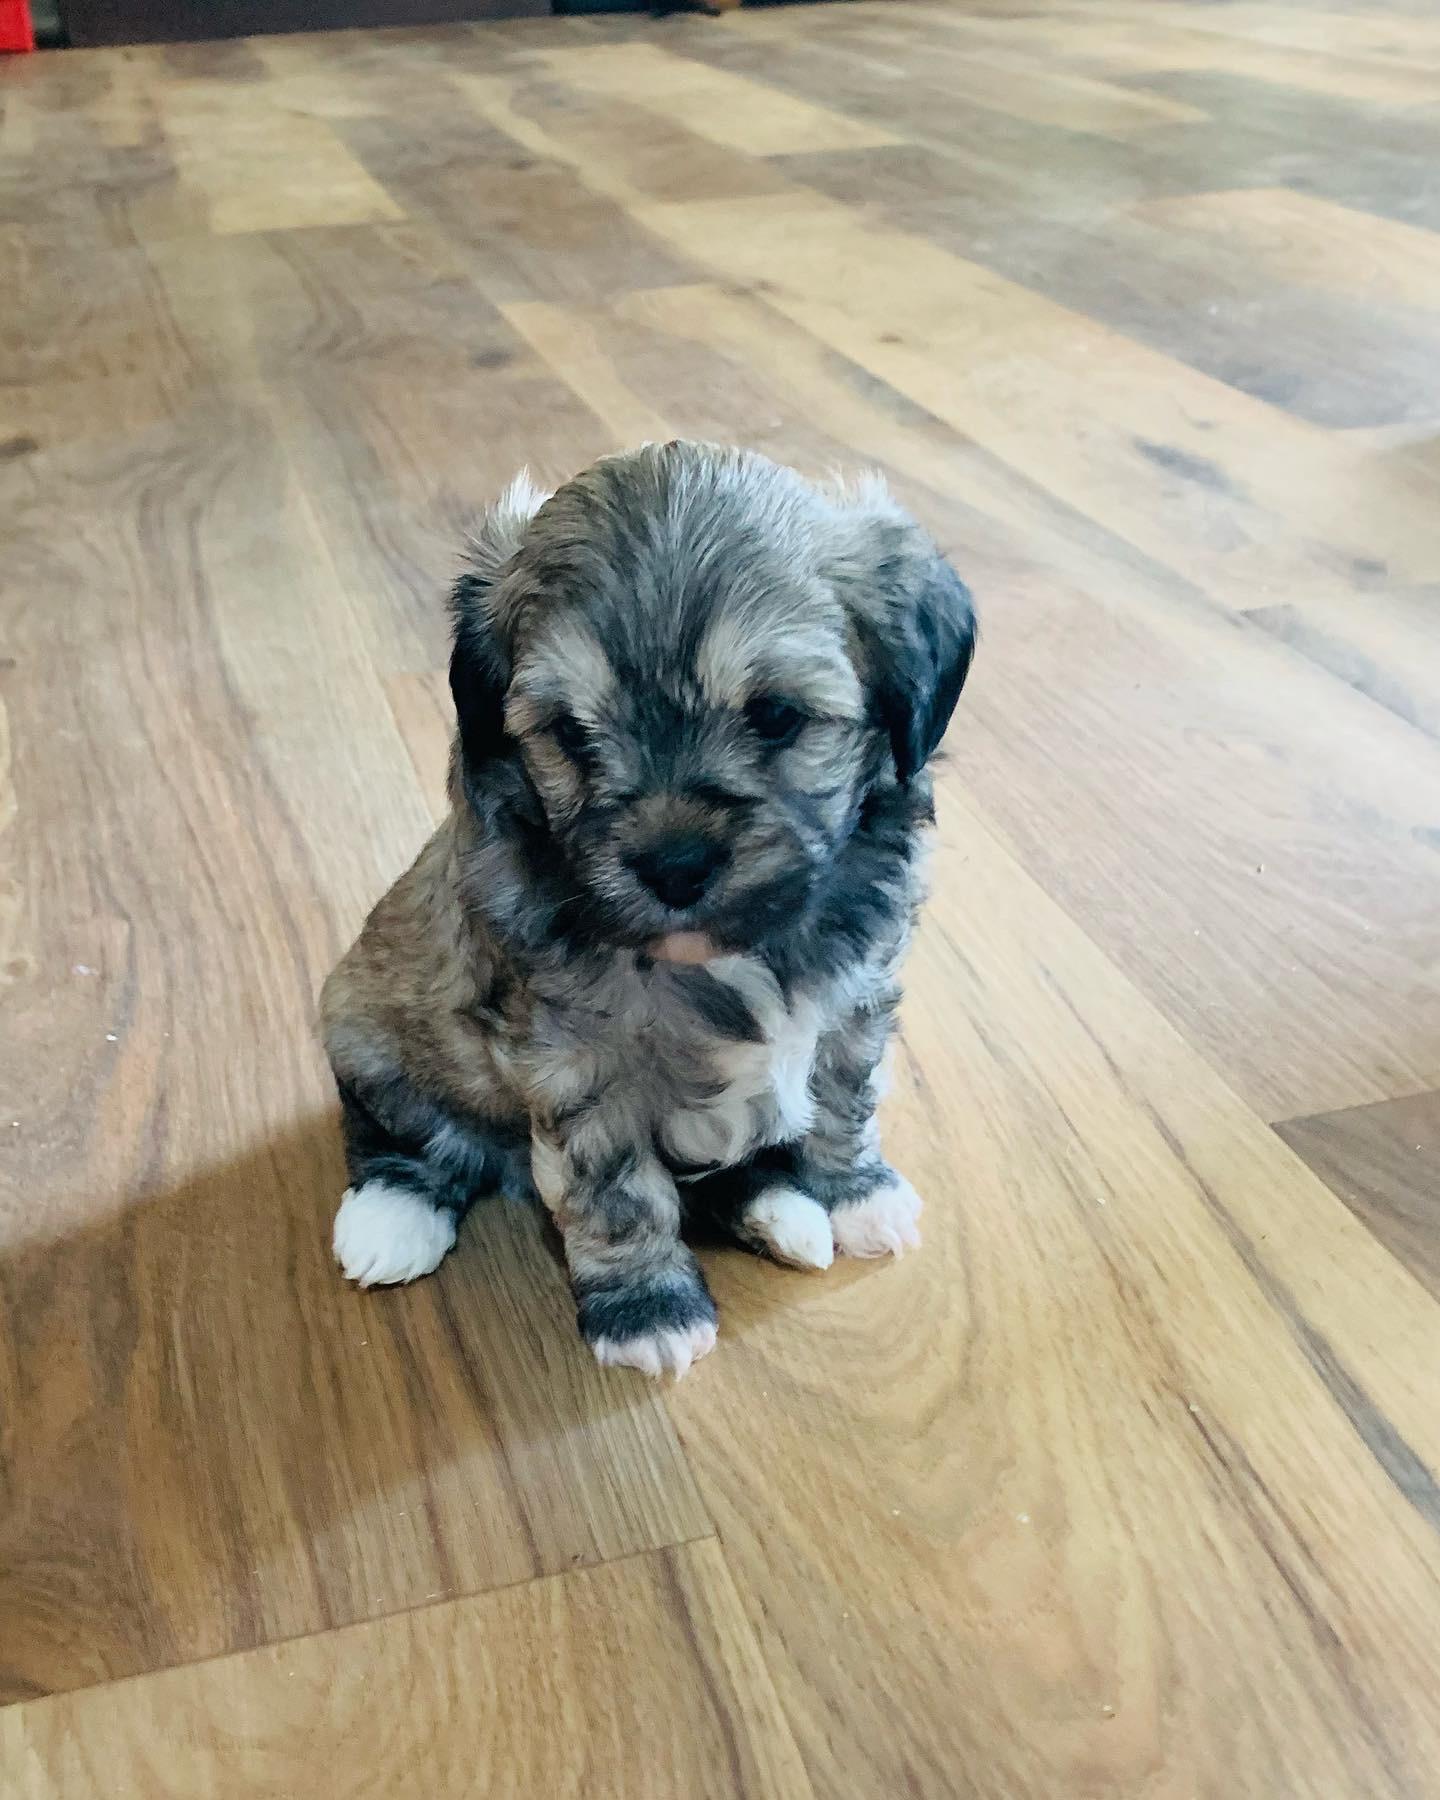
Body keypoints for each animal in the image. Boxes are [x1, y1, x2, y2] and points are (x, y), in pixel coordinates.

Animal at [320, 442, 975, 1376]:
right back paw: (390, 1215)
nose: (674, 865)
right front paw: (647, 1308)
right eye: (569, 734)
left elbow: (845, 1096)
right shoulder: (580, 1062)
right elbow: (616, 1189)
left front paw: (855, 1190)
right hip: (367, 1031)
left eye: (776, 716)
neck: (734, 951)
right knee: (397, 1130)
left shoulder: (857, 998)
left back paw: (784, 1210)